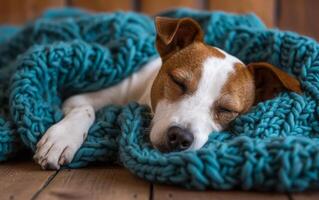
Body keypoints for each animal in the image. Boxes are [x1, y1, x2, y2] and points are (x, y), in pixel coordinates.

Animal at [33, 16, 302, 169]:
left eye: (226, 109)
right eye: (178, 82)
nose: (180, 137)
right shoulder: (80, 98)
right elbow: (85, 108)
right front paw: (63, 138)